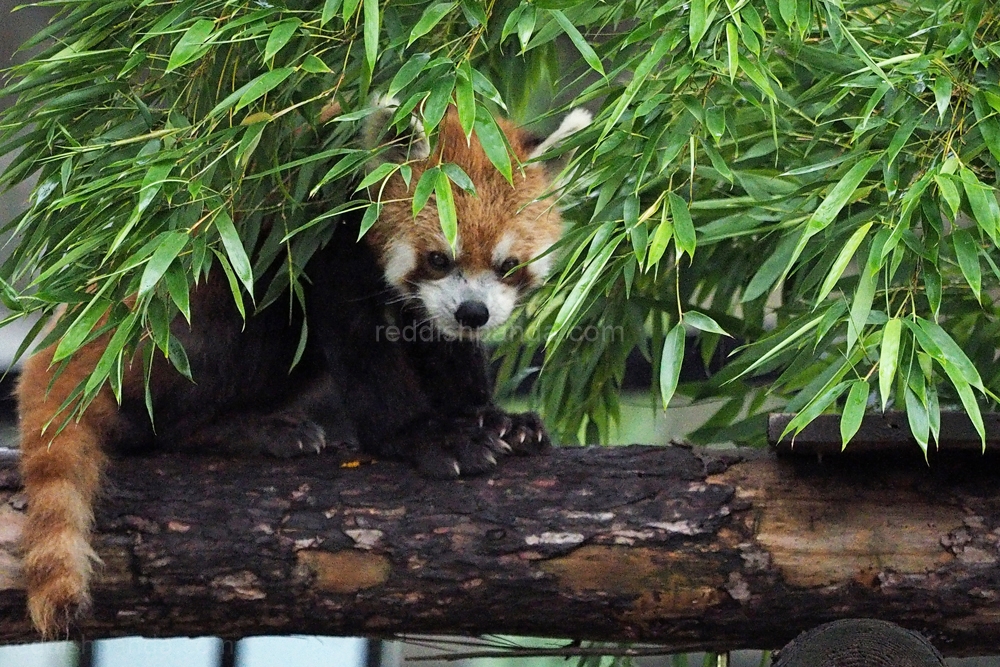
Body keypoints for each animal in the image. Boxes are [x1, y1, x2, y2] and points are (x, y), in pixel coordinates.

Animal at [13, 99, 584, 636]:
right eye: (440, 258)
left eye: (508, 265)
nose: (473, 312)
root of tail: (59, 349)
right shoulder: (319, 232)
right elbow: (358, 344)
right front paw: (421, 436)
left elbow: (439, 342)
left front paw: (491, 417)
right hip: (175, 313)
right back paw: (246, 430)